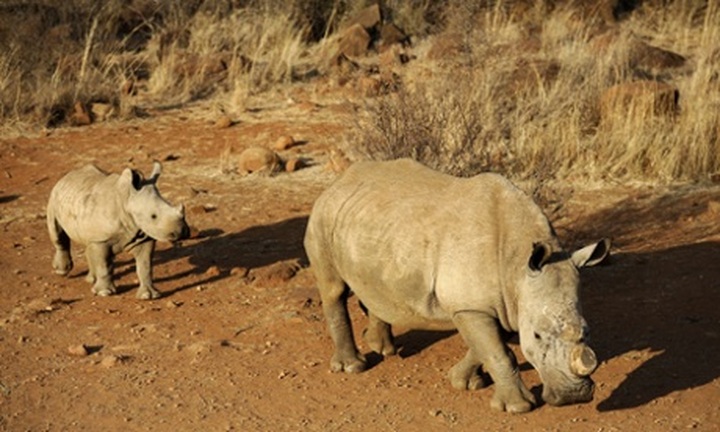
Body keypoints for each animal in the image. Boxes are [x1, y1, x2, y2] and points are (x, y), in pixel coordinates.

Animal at [46, 161, 189, 300]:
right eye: (153, 216)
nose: (182, 232)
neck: (127, 200)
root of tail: (66, 176)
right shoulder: (101, 238)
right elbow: (104, 265)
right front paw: (104, 293)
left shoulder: (143, 235)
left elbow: (145, 265)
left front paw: (149, 295)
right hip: (54, 197)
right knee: (58, 234)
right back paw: (62, 271)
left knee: (88, 242)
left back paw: (91, 280)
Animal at [304, 159, 610, 413]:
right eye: (536, 336)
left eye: (587, 331)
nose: (574, 397)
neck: (516, 264)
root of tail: (339, 181)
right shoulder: (472, 306)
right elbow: (498, 351)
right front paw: (517, 407)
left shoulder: (496, 303)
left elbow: (488, 345)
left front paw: (464, 382)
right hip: (323, 216)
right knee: (334, 290)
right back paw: (353, 367)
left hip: (371, 226)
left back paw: (383, 349)